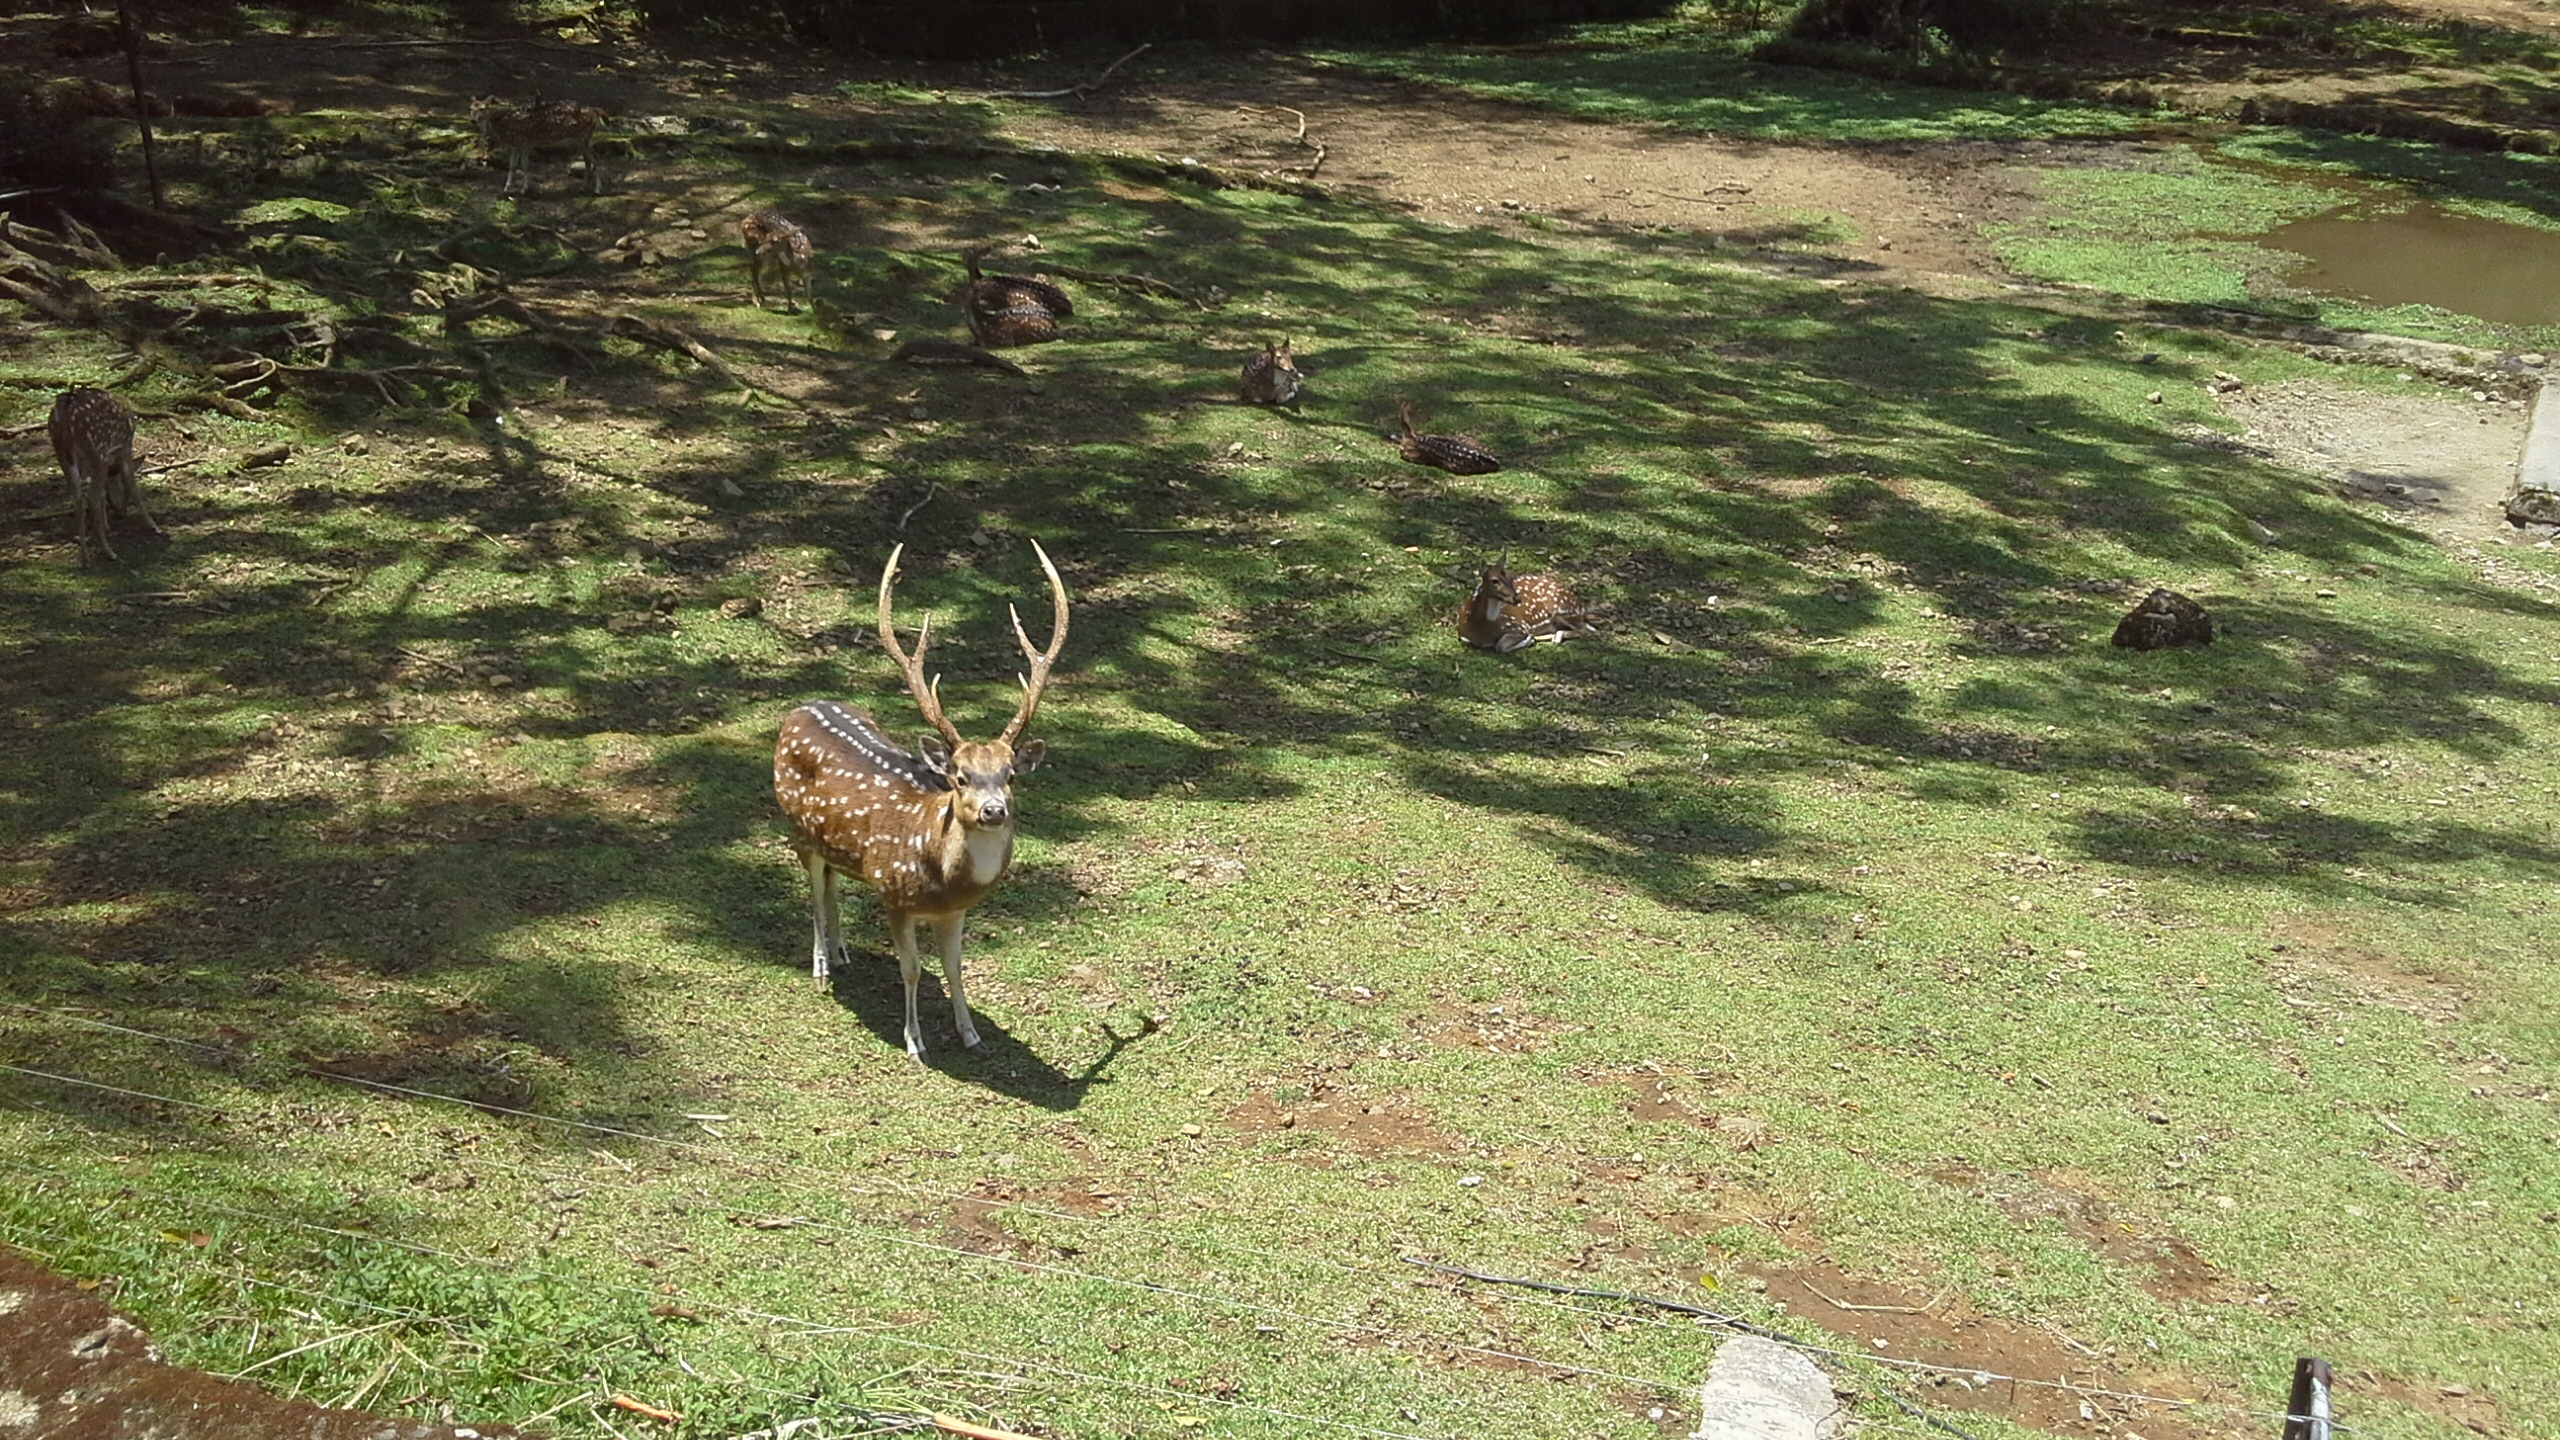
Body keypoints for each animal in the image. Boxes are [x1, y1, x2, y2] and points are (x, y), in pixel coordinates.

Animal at [49, 388, 158, 562]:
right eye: (124, 495)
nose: (122, 513)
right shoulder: (124, 446)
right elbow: (132, 486)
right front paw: (153, 525)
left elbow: (99, 491)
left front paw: (106, 525)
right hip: (97, 449)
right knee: (91, 494)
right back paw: (109, 552)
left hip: (62, 451)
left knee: (78, 495)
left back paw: (85, 556)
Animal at [773, 541, 1070, 1062]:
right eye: (959, 777)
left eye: (1010, 775)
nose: (994, 810)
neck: (939, 877)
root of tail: (800, 708)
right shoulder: (893, 894)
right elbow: (910, 969)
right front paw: (915, 1041)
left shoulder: (955, 911)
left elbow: (954, 968)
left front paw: (970, 1034)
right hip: (793, 824)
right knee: (811, 890)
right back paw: (821, 966)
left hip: (830, 841)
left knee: (830, 881)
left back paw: (842, 952)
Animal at [1455, 552, 1595, 653]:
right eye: (1494, 580)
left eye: (1511, 577)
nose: (1517, 598)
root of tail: (1581, 605)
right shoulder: (1462, 634)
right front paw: (1531, 639)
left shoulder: (1519, 626)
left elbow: (1500, 646)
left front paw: (1529, 640)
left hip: (1563, 610)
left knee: (1587, 630)